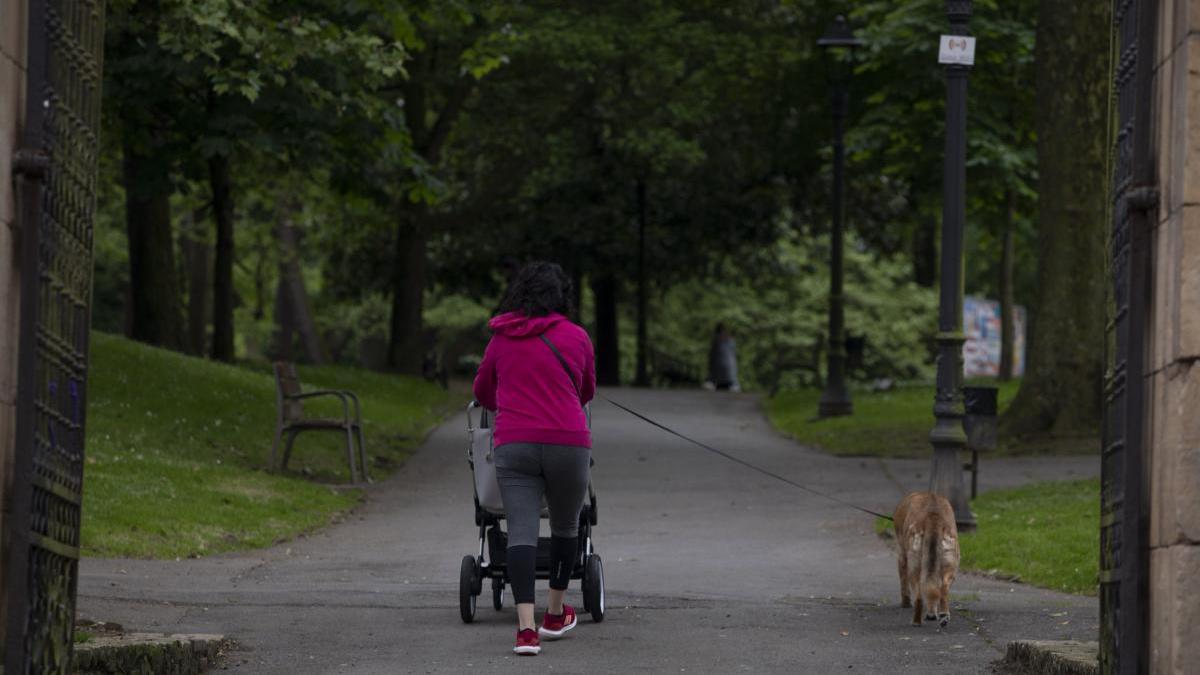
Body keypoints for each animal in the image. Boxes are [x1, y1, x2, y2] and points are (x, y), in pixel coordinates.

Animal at [897, 487, 960, 624]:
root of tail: (933, 517)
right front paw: (932, 613)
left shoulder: (902, 558)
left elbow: (904, 585)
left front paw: (905, 603)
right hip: (950, 564)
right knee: (942, 589)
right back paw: (944, 615)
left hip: (914, 568)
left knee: (919, 596)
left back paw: (916, 622)